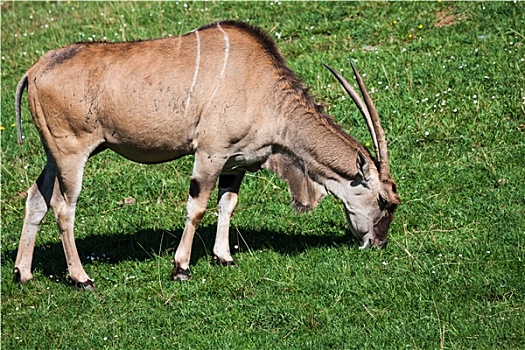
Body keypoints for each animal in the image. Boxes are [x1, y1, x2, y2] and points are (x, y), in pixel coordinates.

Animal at [14, 19, 400, 288]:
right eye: (384, 201)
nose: (378, 243)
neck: (264, 88)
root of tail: (35, 70)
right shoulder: (209, 155)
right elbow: (197, 207)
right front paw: (181, 267)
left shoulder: (236, 163)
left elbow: (226, 204)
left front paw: (224, 257)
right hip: (71, 153)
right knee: (63, 207)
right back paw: (81, 278)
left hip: (54, 157)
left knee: (36, 198)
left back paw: (23, 273)